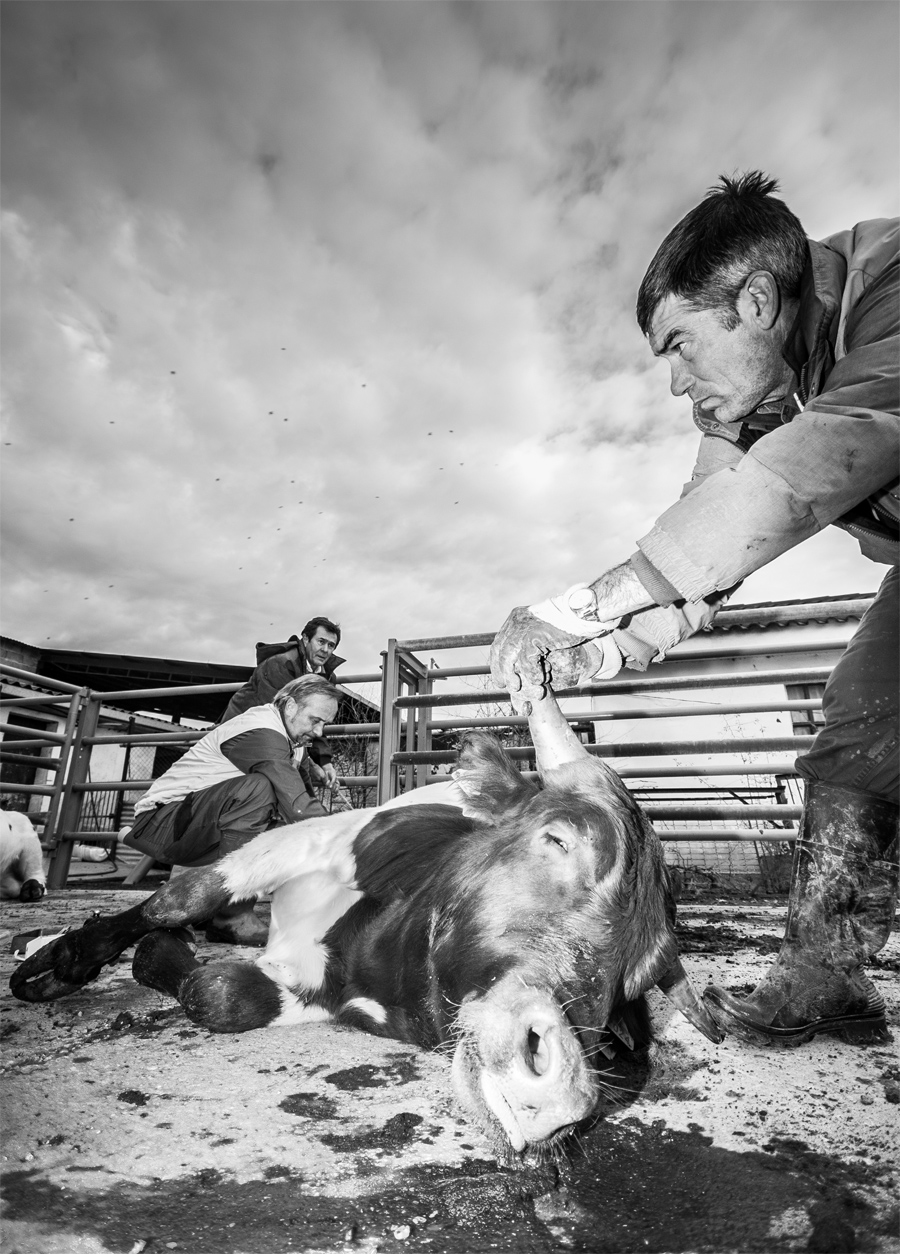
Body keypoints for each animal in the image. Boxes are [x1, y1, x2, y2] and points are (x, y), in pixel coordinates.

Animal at [10, 692, 722, 1148]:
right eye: (558, 838)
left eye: (633, 978)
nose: (559, 1096)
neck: (382, 961)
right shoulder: (309, 839)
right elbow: (181, 898)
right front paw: (64, 962)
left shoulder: (317, 989)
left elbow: (222, 992)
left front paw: (160, 957)